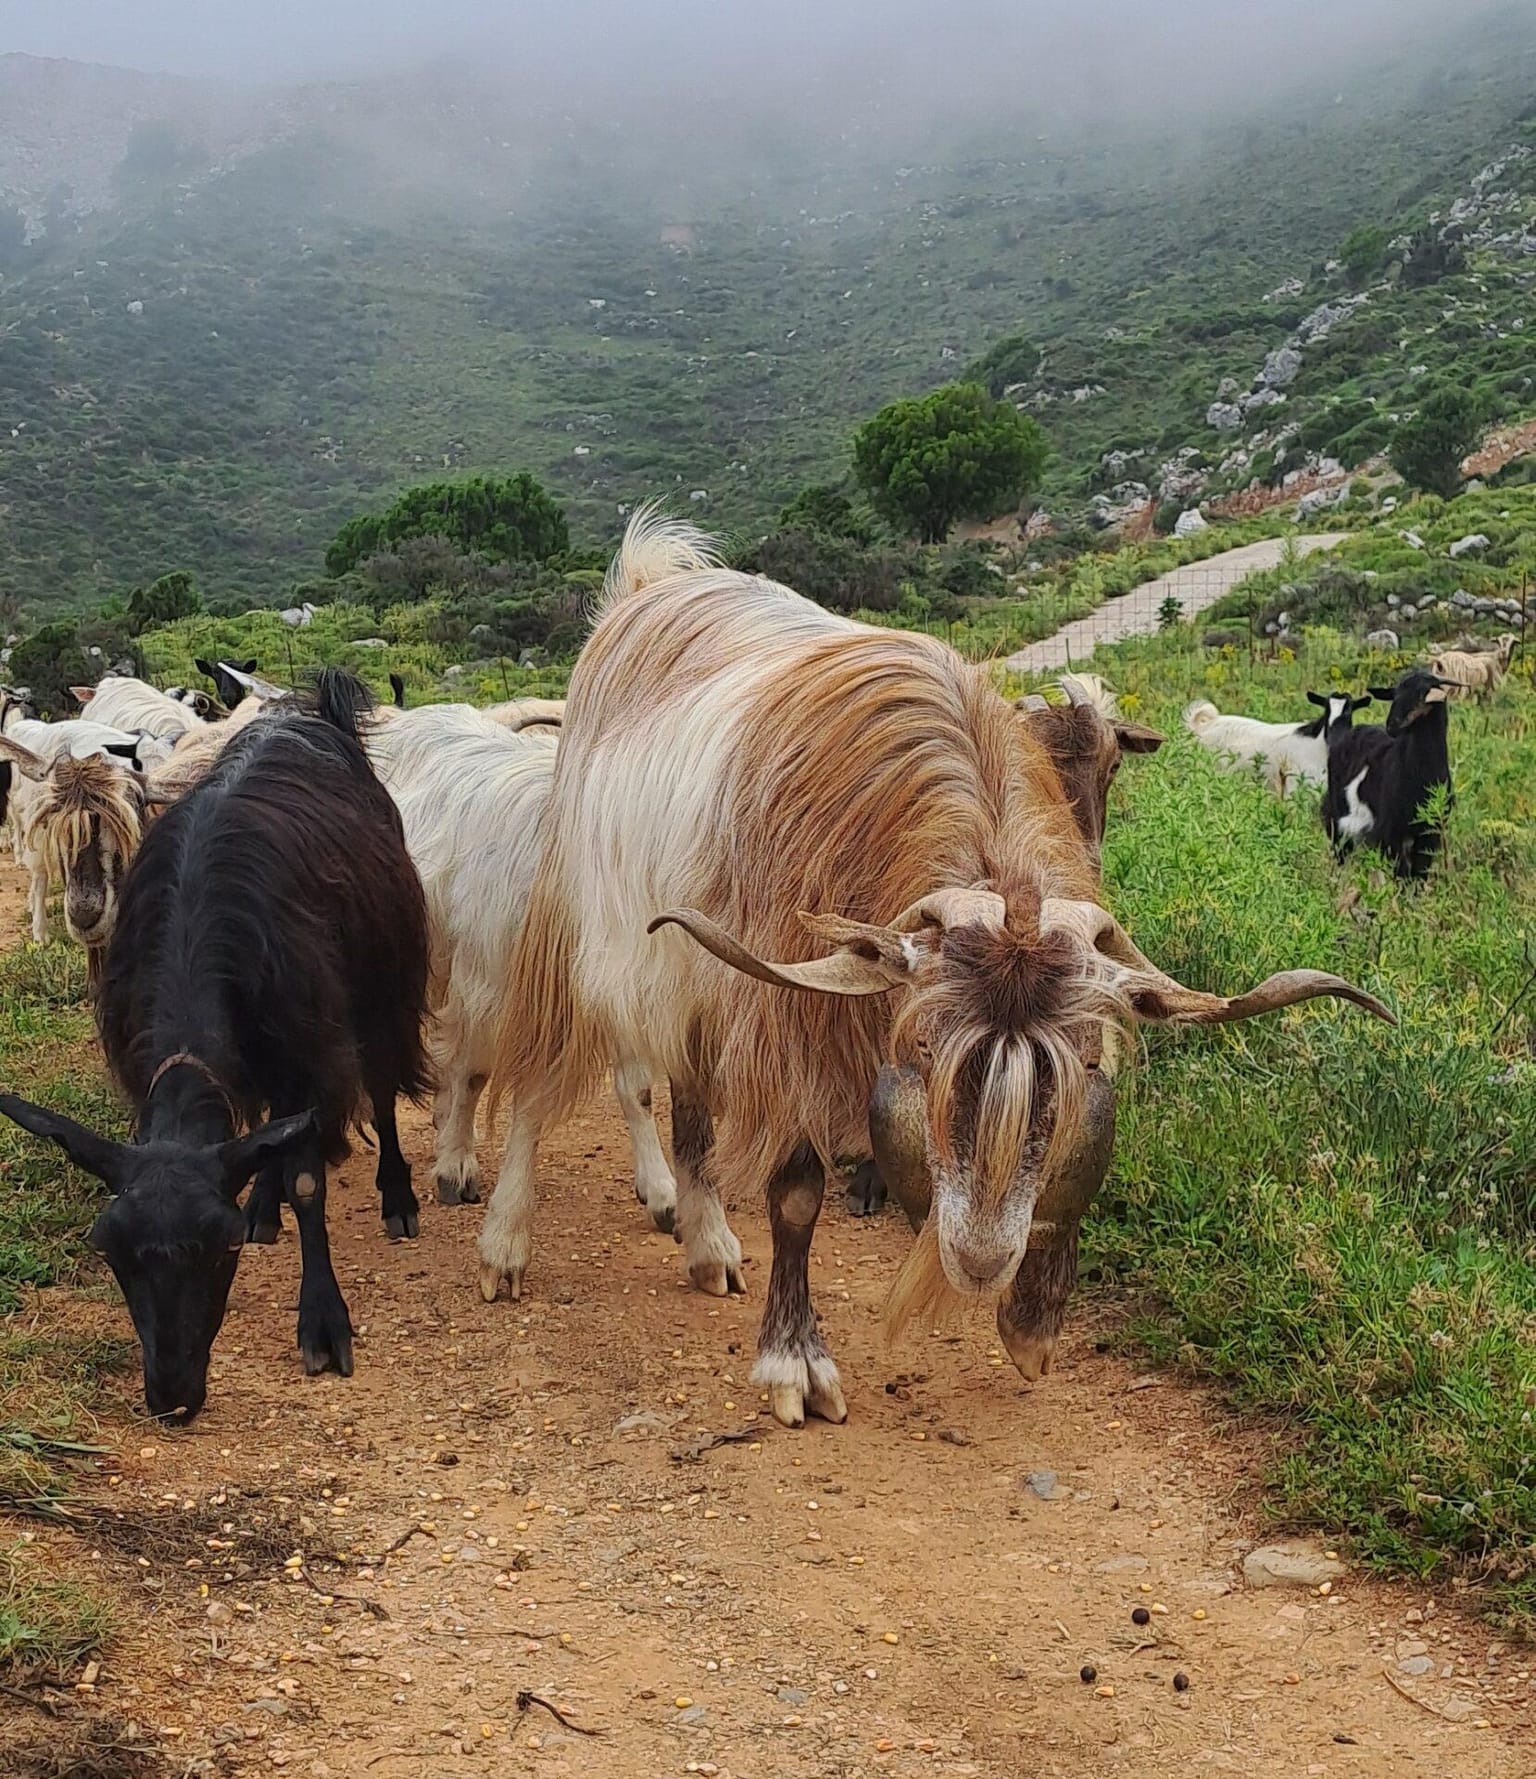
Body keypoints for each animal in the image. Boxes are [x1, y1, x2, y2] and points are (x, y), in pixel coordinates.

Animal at [0, 668, 432, 1416]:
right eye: (108, 1250)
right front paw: (261, 1202)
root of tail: (311, 714)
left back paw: (395, 1197)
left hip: (382, 982)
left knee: (379, 1087)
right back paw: (262, 1202)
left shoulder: (311, 1047)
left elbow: (310, 1178)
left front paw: (324, 1323)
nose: (173, 1396)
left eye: (221, 1250)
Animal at [491, 508, 1395, 1423]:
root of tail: (647, 587)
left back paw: (708, 1243)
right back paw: (507, 1242)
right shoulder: (789, 1015)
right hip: (586, 933)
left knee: (692, 1094)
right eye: (926, 1054)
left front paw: (1031, 1322)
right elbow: (796, 1194)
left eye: (1075, 1067)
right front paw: (794, 1361)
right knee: (552, 1076)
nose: (981, 1259)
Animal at [1324, 668, 1452, 882]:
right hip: (1337, 818)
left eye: (1421, 695)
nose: (1392, 726)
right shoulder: (1391, 832)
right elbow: (1401, 874)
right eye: (1395, 695)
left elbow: (1419, 874)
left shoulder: (1429, 835)